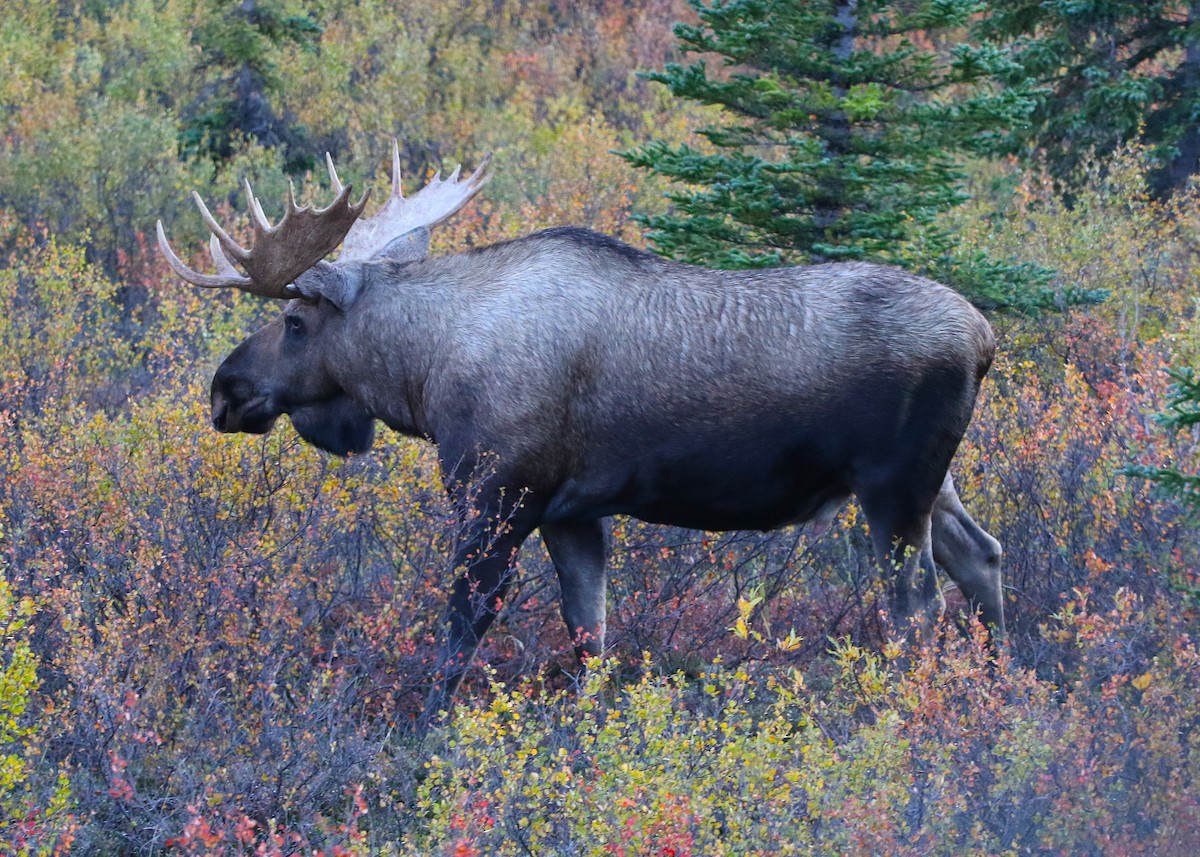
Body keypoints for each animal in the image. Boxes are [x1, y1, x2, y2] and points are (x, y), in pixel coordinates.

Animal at [157, 143, 1004, 724]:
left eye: (296, 322)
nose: (226, 390)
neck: (423, 377)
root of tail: (986, 338)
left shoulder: (498, 493)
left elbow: (462, 628)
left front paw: (425, 723)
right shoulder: (573, 512)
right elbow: (590, 635)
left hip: (893, 486)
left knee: (918, 603)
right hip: (934, 482)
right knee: (983, 555)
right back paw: (1005, 684)